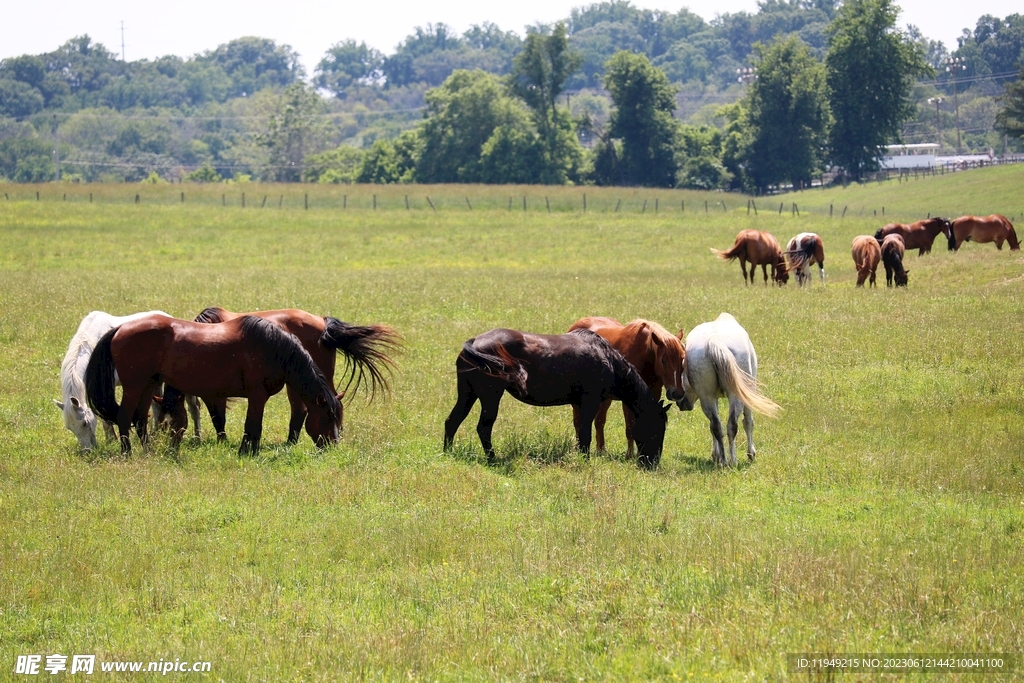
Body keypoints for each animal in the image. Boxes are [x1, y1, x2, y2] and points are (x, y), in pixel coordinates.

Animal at [85, 314, 342, 455]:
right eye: (327, 417)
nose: (333, 445)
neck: (271, 346)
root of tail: (119, 329)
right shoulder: (257, 395)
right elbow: (252, 426)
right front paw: (246, 453)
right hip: (134, 386)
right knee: (124, 417)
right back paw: (127, 454)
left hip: (148, 385)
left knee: (140, 419)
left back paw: (148, 452)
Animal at [443, 328, 671, 469]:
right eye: (657, 428)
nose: (652, 463)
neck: (607, 359)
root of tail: (473, 343)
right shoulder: (590, 402)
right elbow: (585, 434)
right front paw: (584, 460)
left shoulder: (579, 404)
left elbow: (579, 431)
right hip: (490, 397)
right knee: (484, 427)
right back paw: (492, 459)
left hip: (467, 394)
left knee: (452, 421)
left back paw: (447, 453)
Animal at [566, 317, 688, 457]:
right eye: (663, 360)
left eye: (682, 359)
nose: (677, 393)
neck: (644, 353)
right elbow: (629, 427)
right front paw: (629, 455)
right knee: (578, 422)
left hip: (605, 399)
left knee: (599, 421)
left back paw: (601, 450)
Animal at [679, 313, 780, 468]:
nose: (681, 403)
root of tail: (714, 341)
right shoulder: (748, 393)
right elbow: (748, 422)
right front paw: (751, 454)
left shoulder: (712, 398)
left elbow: (713, 427)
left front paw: (716, 455)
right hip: (736, 395)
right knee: (732, 425)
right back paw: (733, 461)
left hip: (707, 397)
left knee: (717, 426)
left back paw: (724, 461)